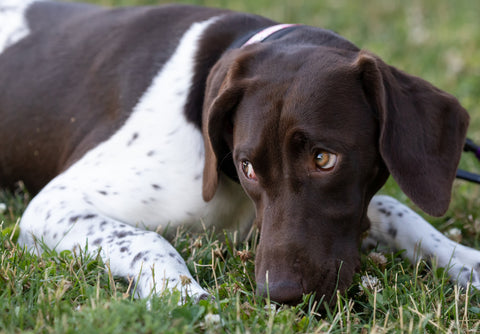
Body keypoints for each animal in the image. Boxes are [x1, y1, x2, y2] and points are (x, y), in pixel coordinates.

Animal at [0, 0, 480, 304]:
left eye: (323, 158)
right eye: (246, 166)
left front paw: (466, 261)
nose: (280, 294)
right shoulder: (54, 204)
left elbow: (398, 213)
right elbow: (148, 238)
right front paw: (184, 296)